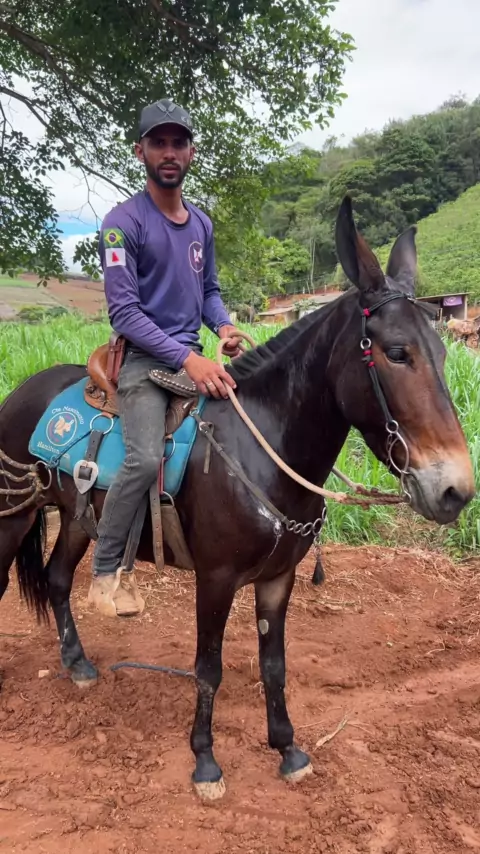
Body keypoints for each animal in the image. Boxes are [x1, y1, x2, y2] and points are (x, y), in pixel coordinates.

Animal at [0, 197, 474, 800]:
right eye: (396, 353)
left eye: (442, 351)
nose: (455, 490)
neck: (262, 449)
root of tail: (20, 393)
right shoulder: (216, 578)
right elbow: (209, 668)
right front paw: (205, 761)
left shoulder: (277, 579)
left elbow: (274, 664)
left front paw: (288, 749)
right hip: (13, 516)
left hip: (79, 519)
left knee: (59, 578)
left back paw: (79, 664)